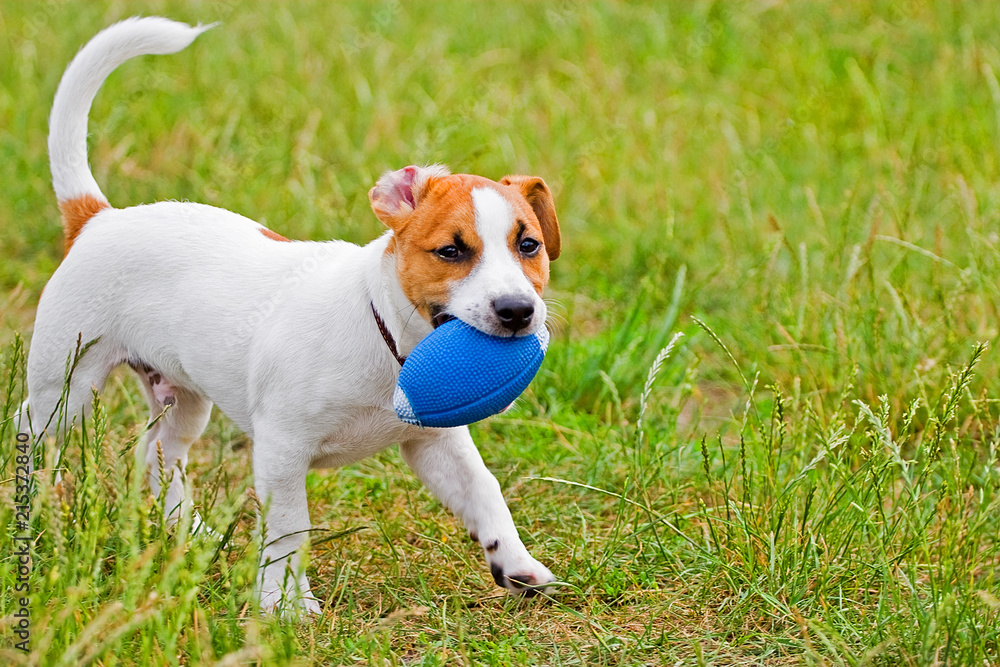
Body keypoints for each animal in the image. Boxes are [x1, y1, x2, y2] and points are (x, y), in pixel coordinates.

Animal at [19, 15, 564, 612]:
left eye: (529, 246)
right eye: (451, 251)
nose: (518, 311)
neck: (386, 342)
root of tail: (98, 218)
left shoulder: (435, 443)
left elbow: (485, 489)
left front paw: (516, 563)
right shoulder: (281, 450)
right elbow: (288, 527)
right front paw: (285, 604)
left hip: (182, 397)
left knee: (157, 454)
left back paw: (195, 536)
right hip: (66, 384)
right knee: (29, 429)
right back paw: (26, 515)